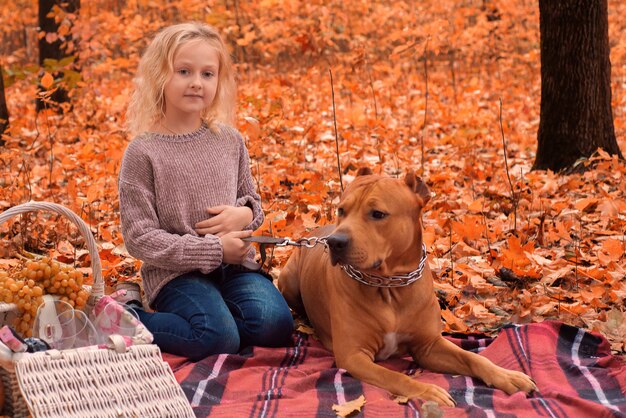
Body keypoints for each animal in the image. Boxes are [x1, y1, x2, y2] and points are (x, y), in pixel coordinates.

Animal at [280, 169, 536, 404]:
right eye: (341, 210)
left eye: (378, 214)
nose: (334, 242)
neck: (389, 285)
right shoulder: (353, 356)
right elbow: (394, 376)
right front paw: (427, 391)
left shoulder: (429, 346)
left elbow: (473, 358)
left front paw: (507, 376)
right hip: (288, 281)